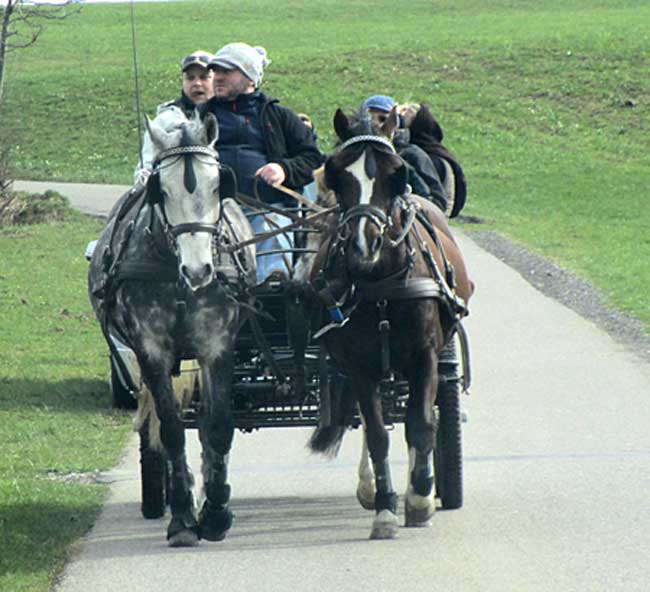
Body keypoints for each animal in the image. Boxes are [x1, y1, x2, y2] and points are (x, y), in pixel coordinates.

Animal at [87, 113, 254, 548]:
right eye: (160, 190)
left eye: (218, 186)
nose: (198, 271)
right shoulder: (151, 349)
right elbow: (173, 430)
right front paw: (182, 518)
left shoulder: (218, 344)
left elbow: (219, 426)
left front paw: (215, 512)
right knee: (159, 425)